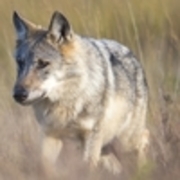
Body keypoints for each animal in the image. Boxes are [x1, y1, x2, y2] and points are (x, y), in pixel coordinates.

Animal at [12, 10, 149, 173]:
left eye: (43, 64)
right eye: (20, 63)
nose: (18, 95)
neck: (65, 104)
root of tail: (132, 54)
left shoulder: (91, 137)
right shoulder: (49, 135)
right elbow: (44, 168)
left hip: (125, 145)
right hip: (106, 151)